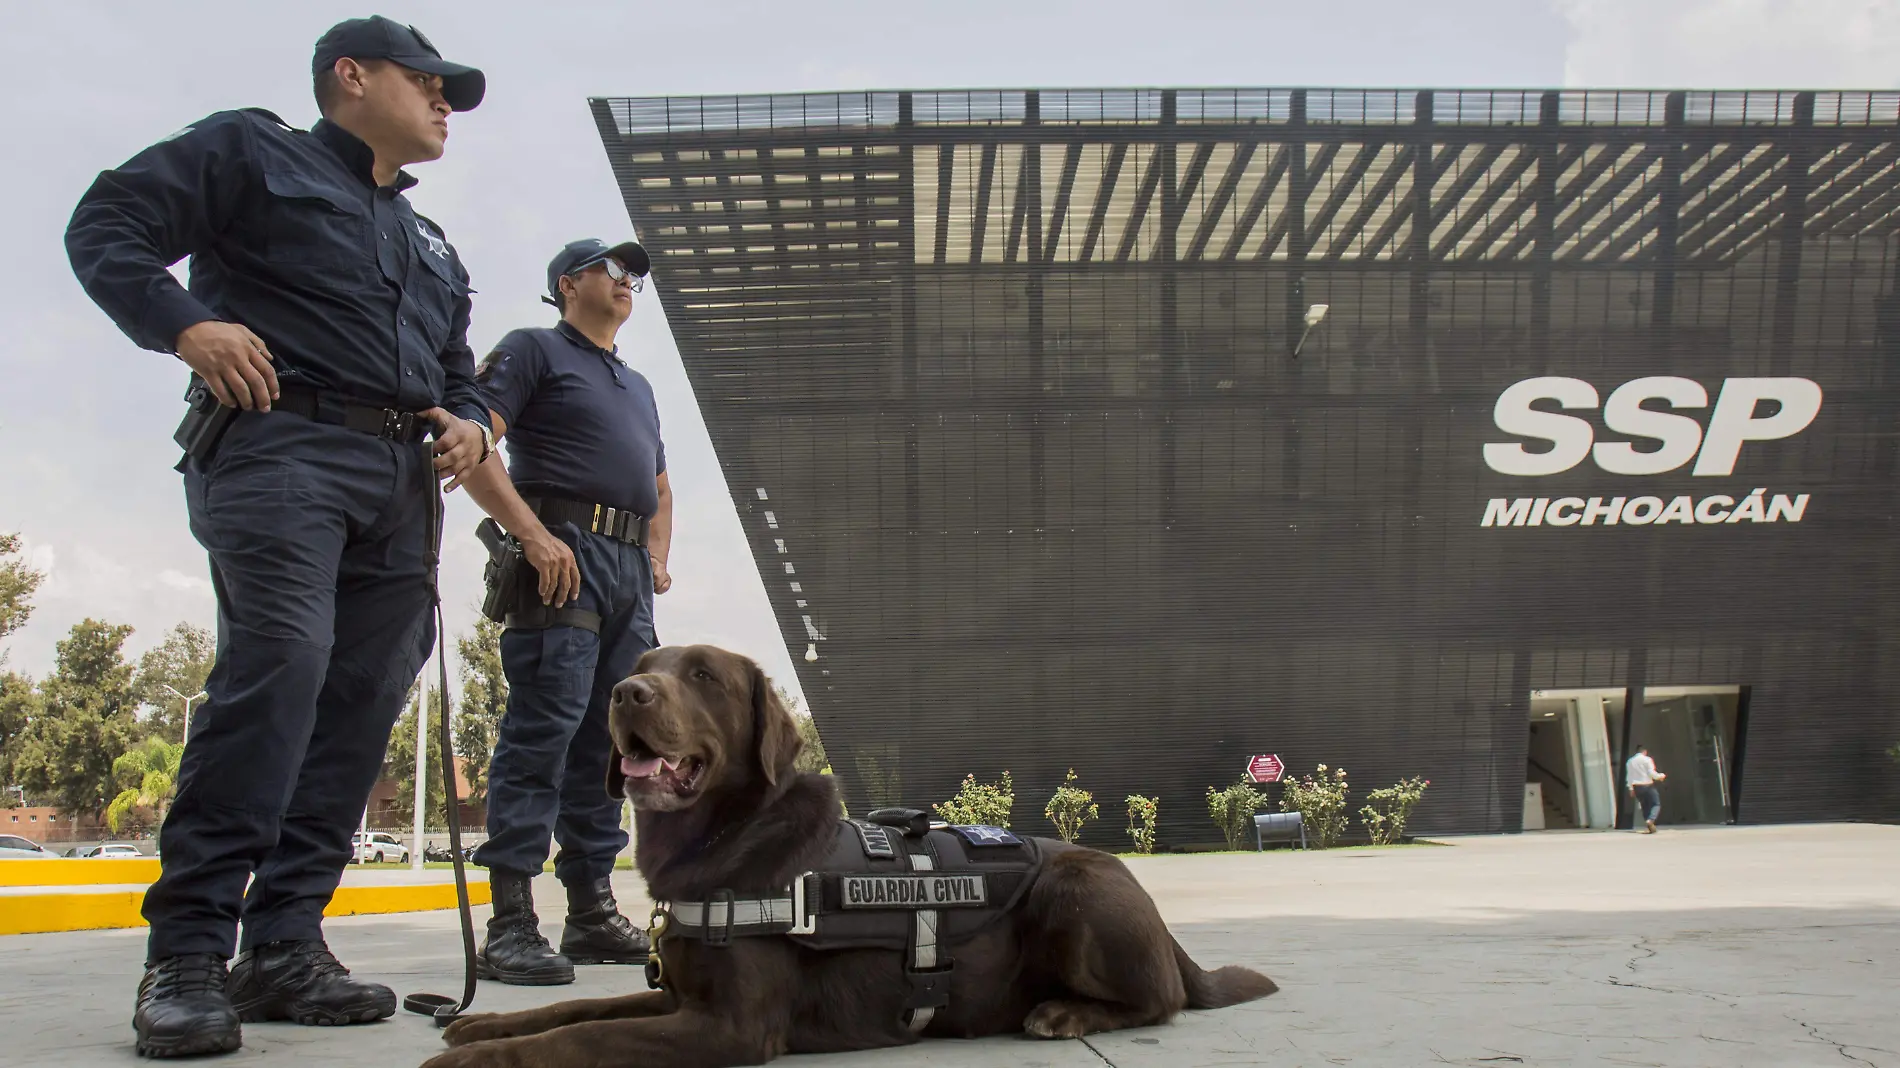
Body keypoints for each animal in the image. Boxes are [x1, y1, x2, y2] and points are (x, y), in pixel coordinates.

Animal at [419, 638, 1276, 1064]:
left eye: (702, 676)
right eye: (640, 672)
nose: (625, 696)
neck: (721, 841)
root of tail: (1163, 924)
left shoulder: (729, 1027)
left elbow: (581, 1037)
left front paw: (464, 1062)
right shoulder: (676, 998)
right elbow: (575, 1008)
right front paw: (478, 1027)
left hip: (1077, 889)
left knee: (1161, 998)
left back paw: (1064, 1012)